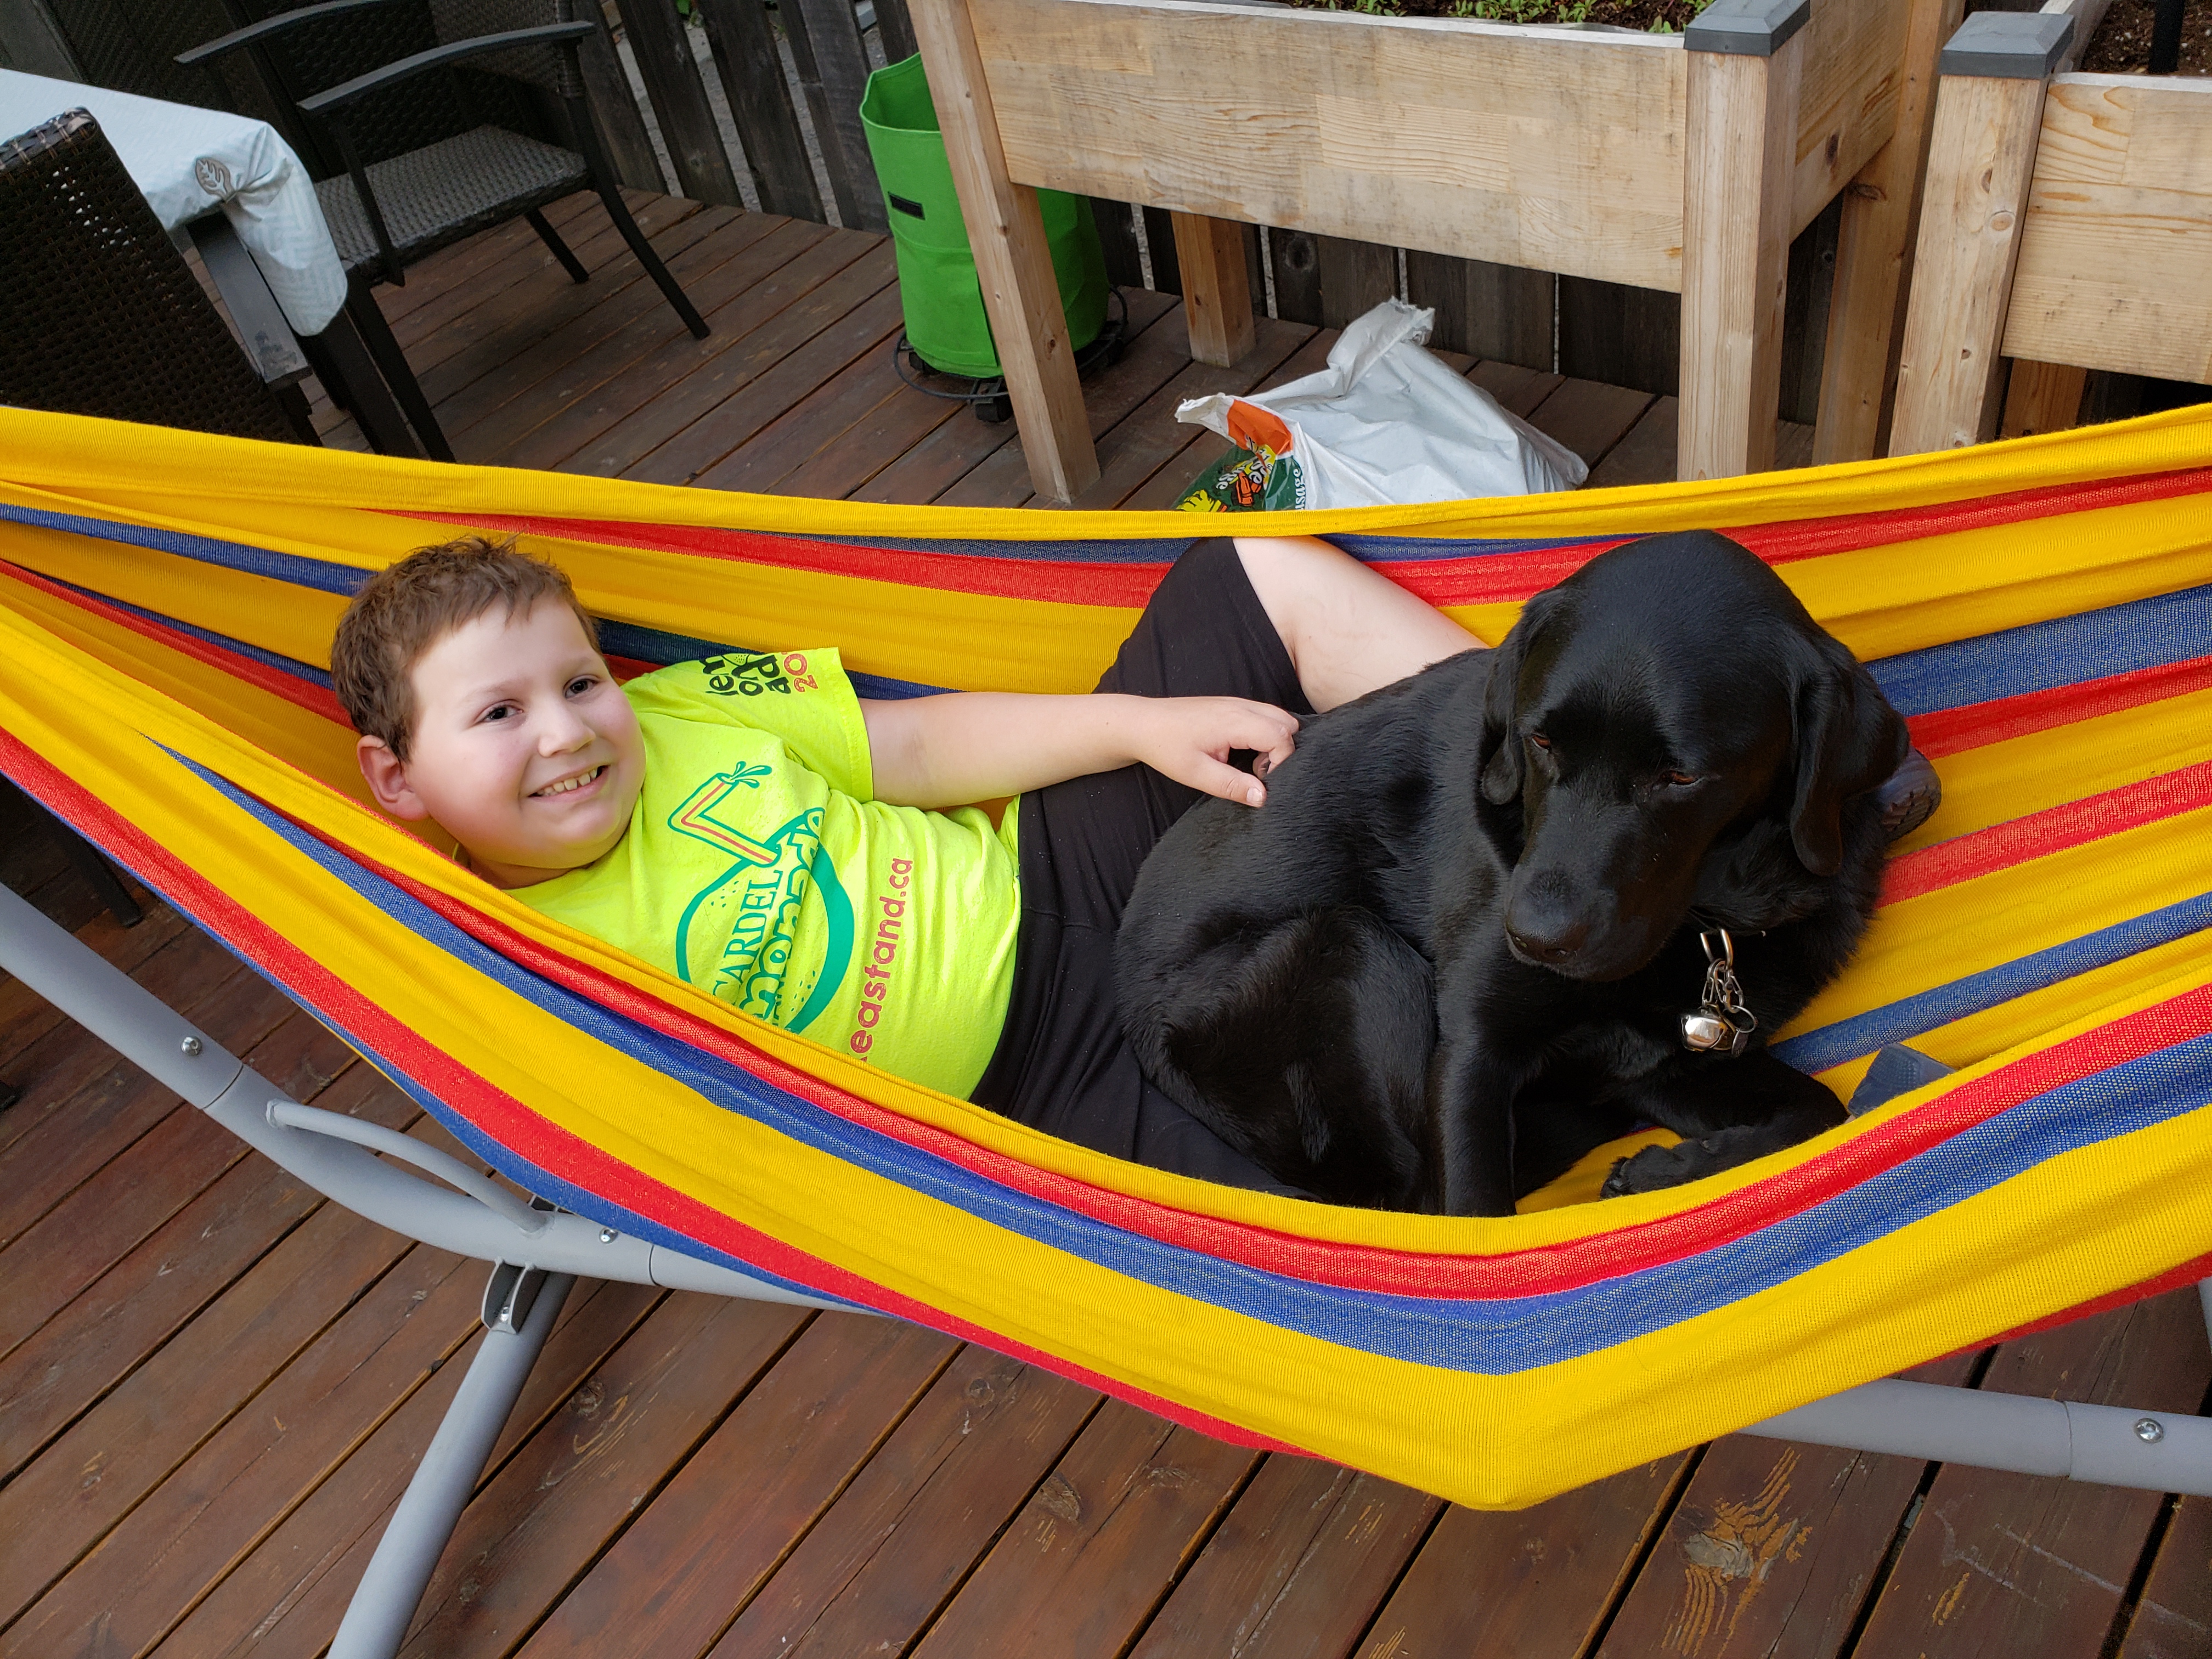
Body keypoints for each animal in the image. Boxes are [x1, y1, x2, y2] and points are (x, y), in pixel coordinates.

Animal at [1115, 535, 1911, 1221]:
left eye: (1681, 777)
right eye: (1541, 741)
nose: (1533, 940)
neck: (1711, 918)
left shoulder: (1662, 1064)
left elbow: (1820, 1109)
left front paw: (1665, 1171)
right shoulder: (1474, 1051)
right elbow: (1476, 1219)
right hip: (1348, 944)